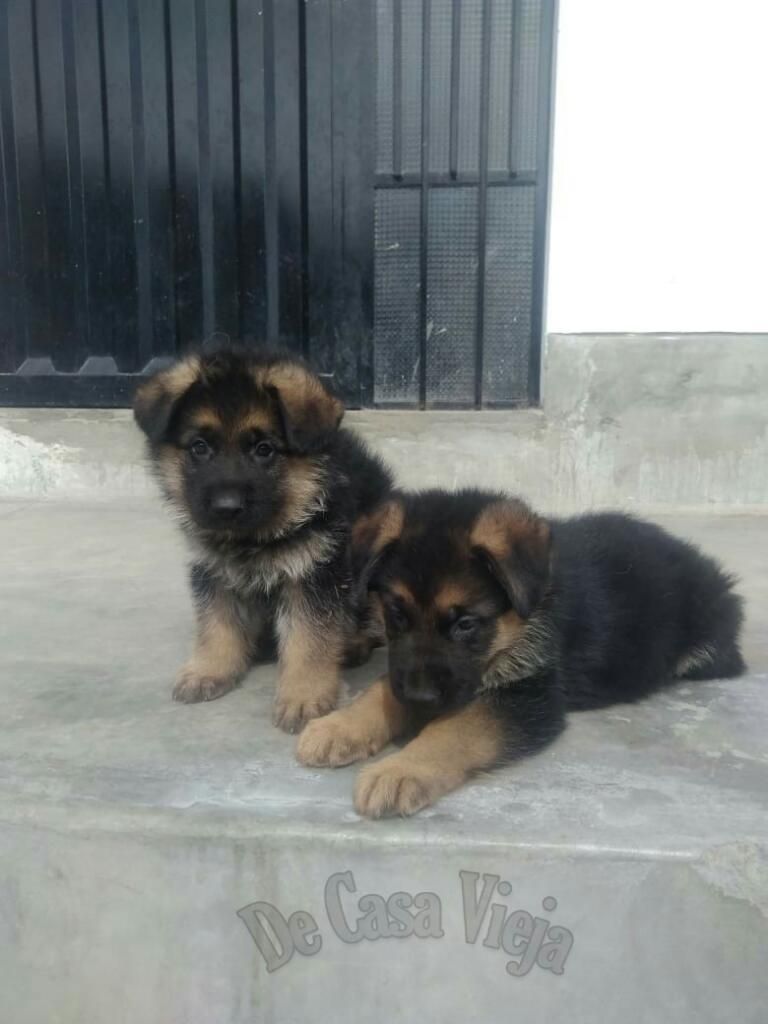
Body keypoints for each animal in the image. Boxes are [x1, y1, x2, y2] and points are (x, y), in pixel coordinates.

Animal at [132, 348, 393, 733]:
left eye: (264, 449)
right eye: (199, 447)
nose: (226, 507)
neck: (258, 538)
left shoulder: (314, 575)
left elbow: (308, 641)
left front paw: (303, 696)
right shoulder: (213, 572)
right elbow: (216, 625)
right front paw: (209, 669)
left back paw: (354, 644)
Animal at [299, 487, 745, 815]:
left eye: (466, 624)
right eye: (396, 613)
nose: (420, 699)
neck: (522, 617)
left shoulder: (532, 695)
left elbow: (455, 727)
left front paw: (400, 769)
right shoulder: (405, 669)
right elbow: (381, 687)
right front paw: (339, 726)